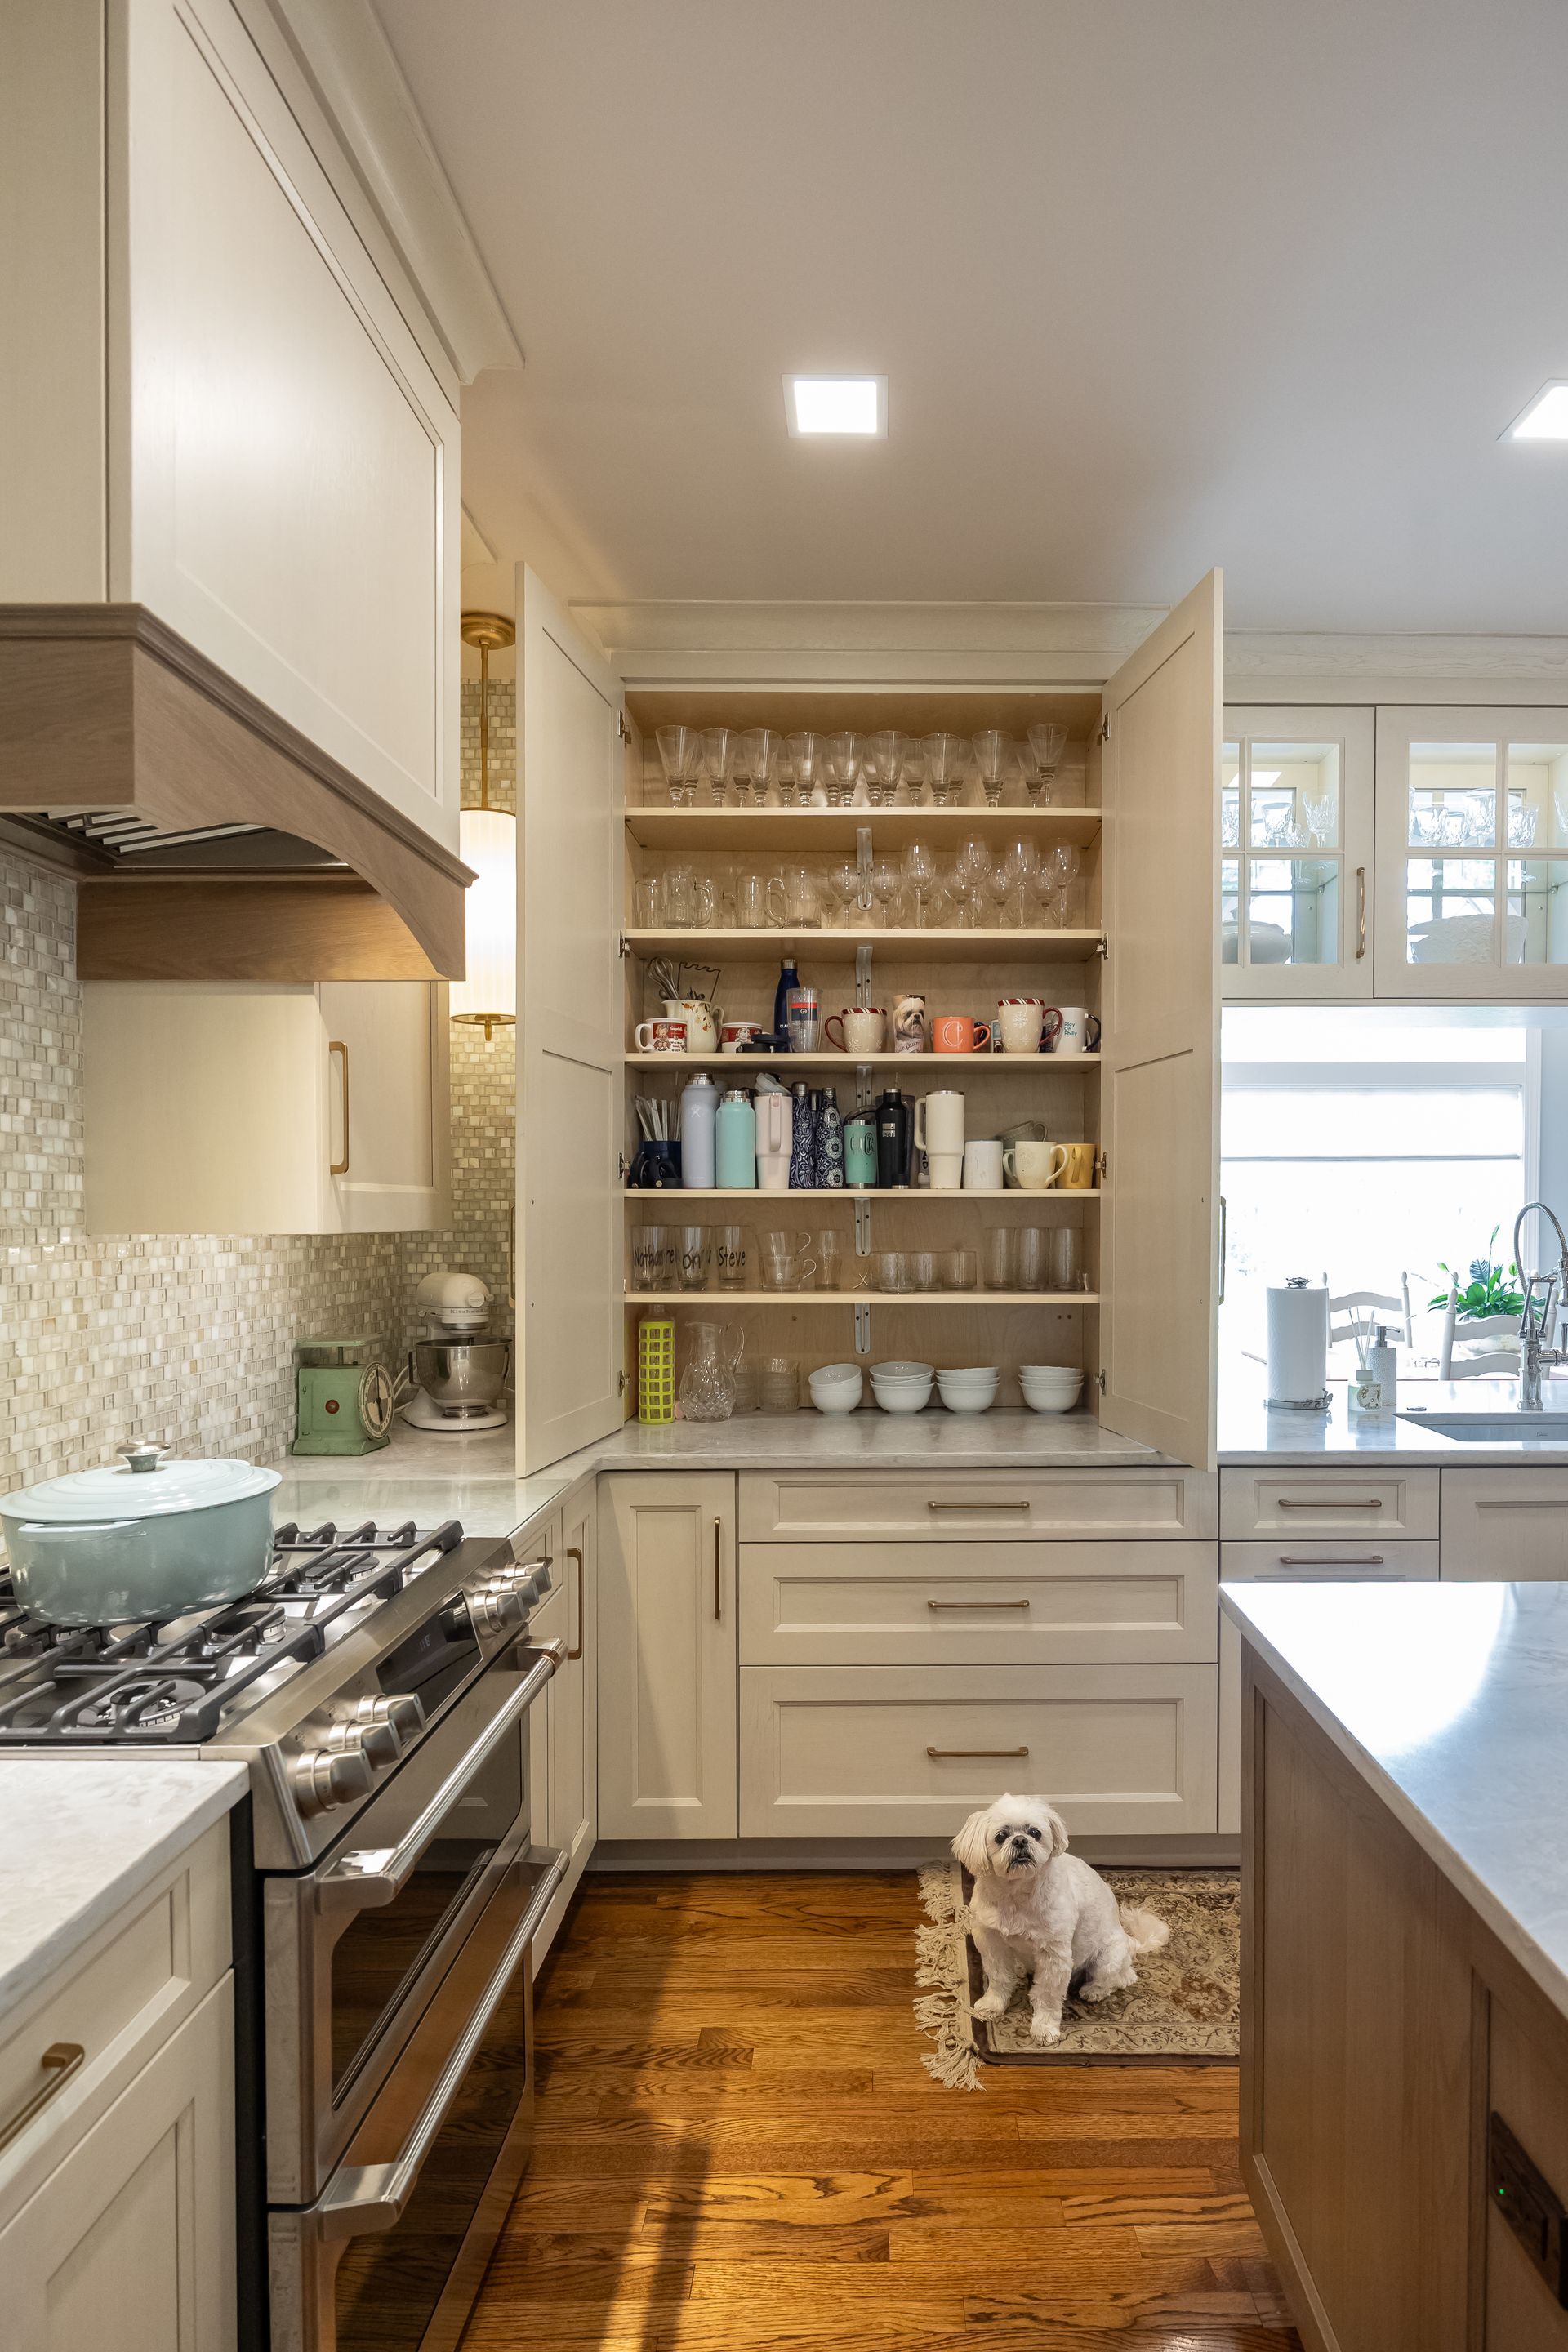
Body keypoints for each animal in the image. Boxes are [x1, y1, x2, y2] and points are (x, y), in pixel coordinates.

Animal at [952, 1794, 1170, 2044]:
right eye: (1001, 1837)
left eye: (1035, 1833)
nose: (1020, 1841)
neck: (1016, 1895)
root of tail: (1130, 1941)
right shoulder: (992, 1943)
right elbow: (999, 1978)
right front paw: (992, 2005)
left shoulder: (1054, 1955)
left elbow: (1047, 1994)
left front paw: (1044, 2028)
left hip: (1108, 1959)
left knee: (1119, 1979)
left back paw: (1093, 1991)